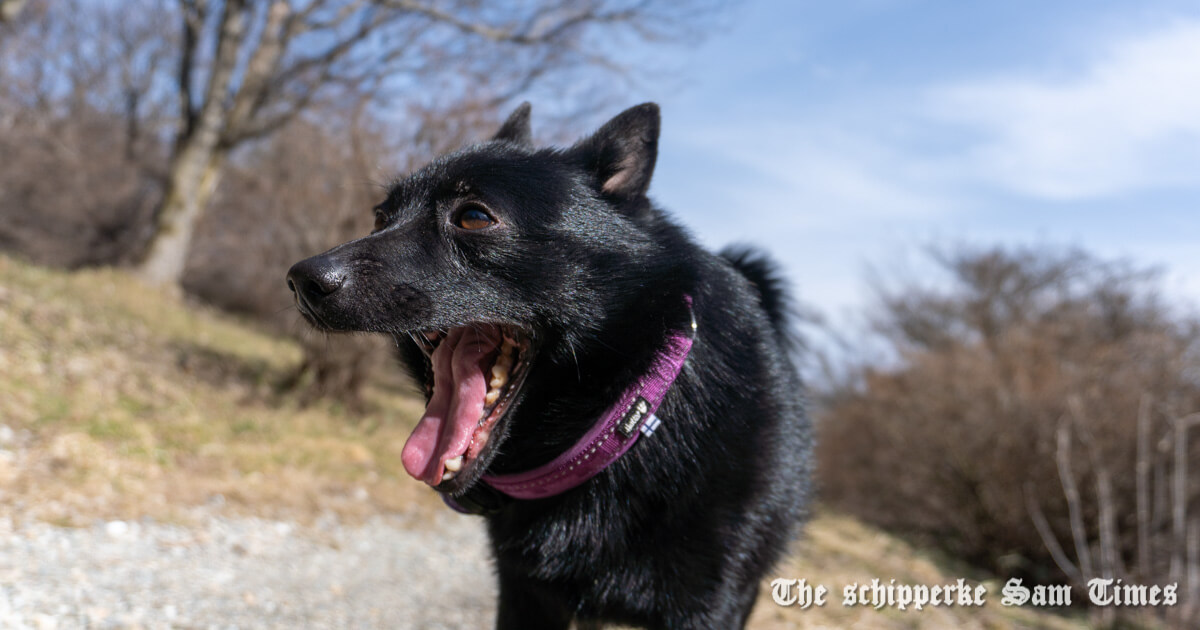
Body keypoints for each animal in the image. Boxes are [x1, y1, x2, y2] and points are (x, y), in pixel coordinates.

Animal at [288, 100, 816, 624]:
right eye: (380, 218)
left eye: (474, 217)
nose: (302, 281)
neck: (626, 426)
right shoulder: (525, 593)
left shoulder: (713, 606)